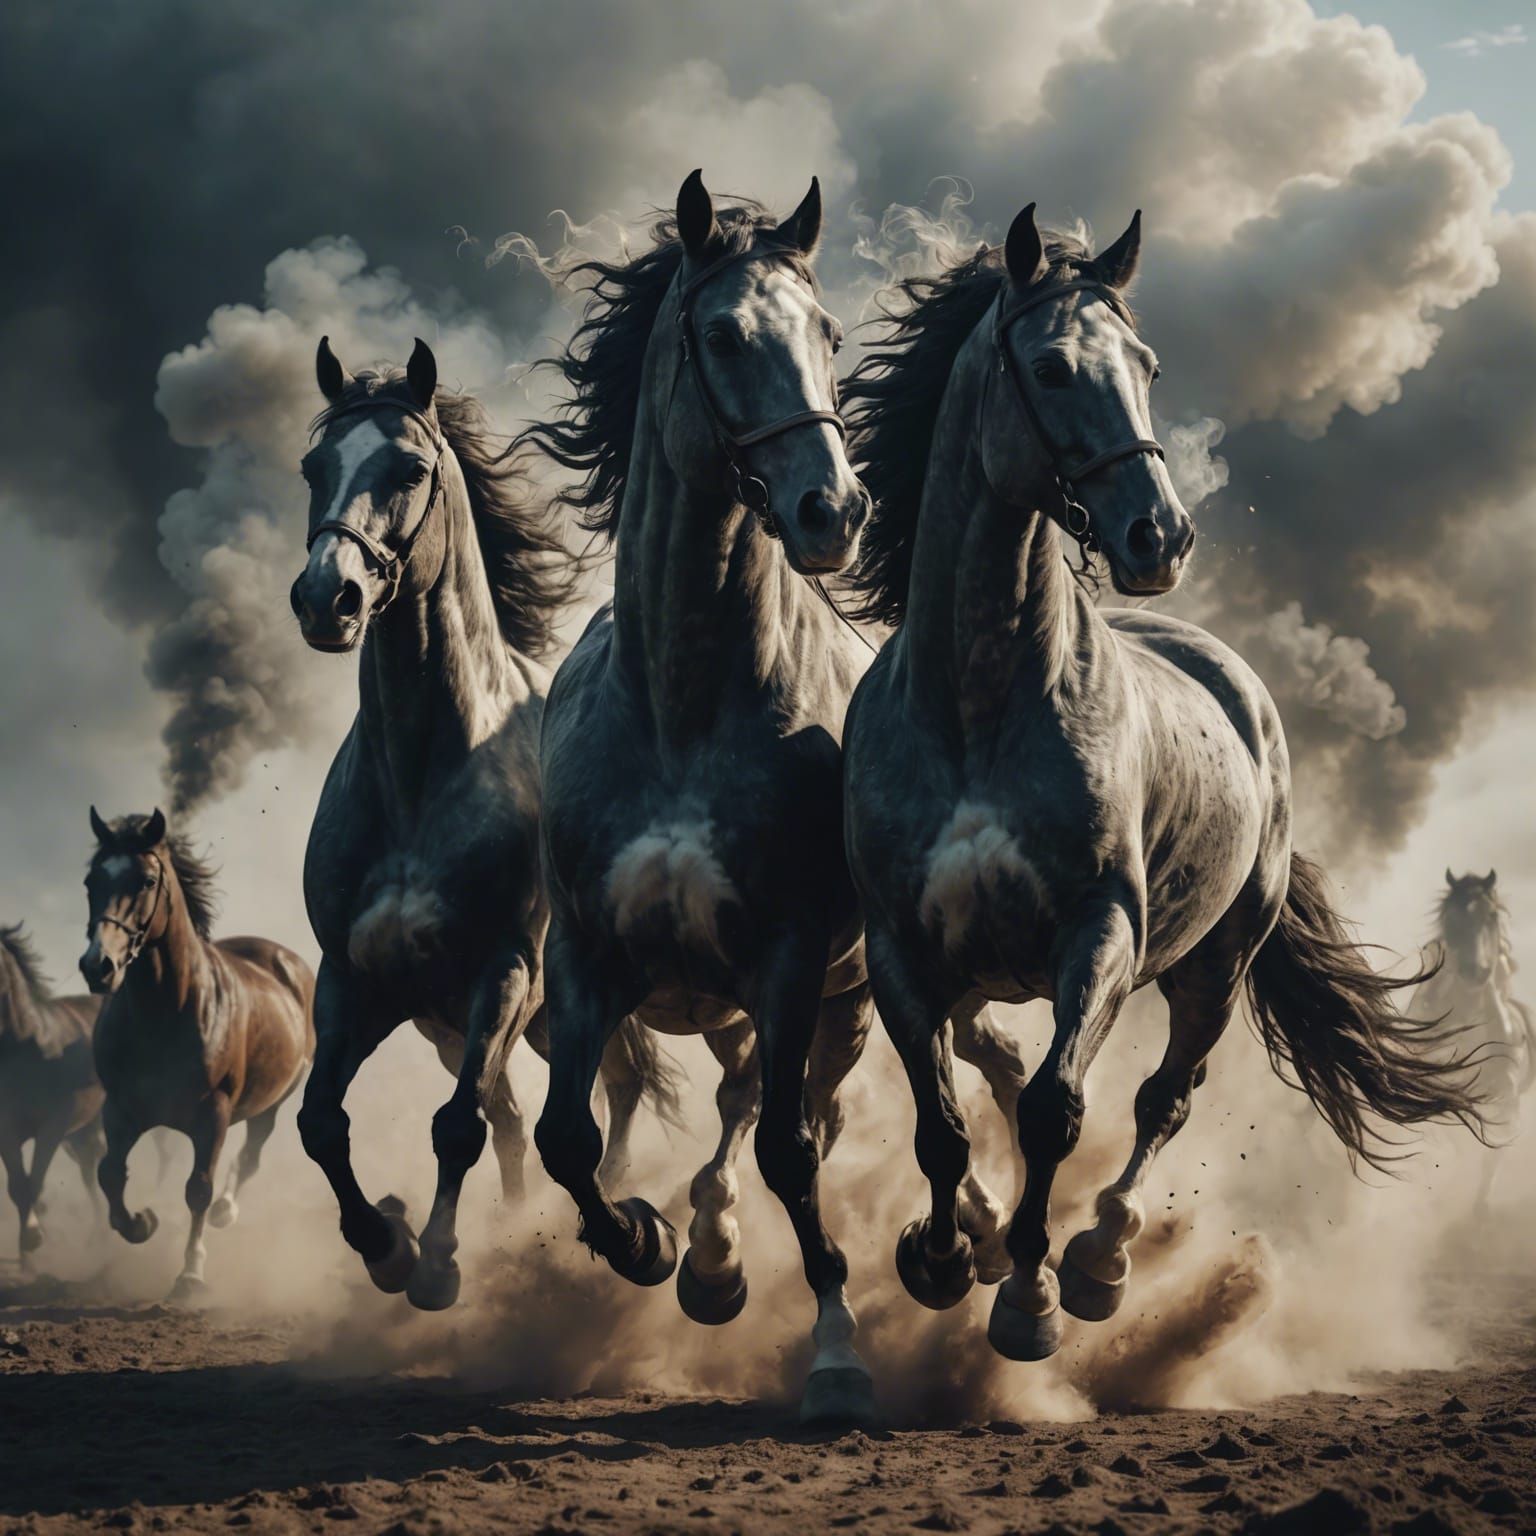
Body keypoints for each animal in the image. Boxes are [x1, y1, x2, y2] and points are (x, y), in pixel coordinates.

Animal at [0, 925, 104, 1264]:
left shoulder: (53, 1127)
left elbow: (34, 1182)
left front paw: (33, 1237)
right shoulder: (6, 1130)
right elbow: (19, 1185)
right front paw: (29, 1243)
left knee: (94, 1169)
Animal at [80, 809, 315, 1300]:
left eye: (148, 880)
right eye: (91, 880)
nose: (98, 965)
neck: (167, 1013)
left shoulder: (213, 1114)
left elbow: (198, 1189)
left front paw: (190, 1273)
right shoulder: (120, 1109)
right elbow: (110, 1173)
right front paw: (141, 1223)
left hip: (272, 1103)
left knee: (249, 1160)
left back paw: (227, 1210)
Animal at [289, 339, 683, 1311]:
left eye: (408, 469)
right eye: (314, 468)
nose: (326, 599)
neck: (419, 782)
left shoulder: (504, 973)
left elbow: (458, 1127)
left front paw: (433, 1265)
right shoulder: (354, 982)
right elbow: (322, 1123)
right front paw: (385, 1245)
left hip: (546, 1010)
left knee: (610, 1093)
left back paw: (621, 1224)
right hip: (460, 1026)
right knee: (519, 1115)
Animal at [840, 202, 1484, 1362]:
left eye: (1144, 366)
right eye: (1053, 367)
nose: (1161, 536)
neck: (977, 705)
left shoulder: (1100, 933)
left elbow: (1057, 1109)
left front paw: (1031, 1301)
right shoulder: (902, 947)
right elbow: (942, 1119)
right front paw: (945, 1258)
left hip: (1214, 966)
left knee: (1161, 1101)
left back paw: (1099, 1260)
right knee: (1007, 1071)